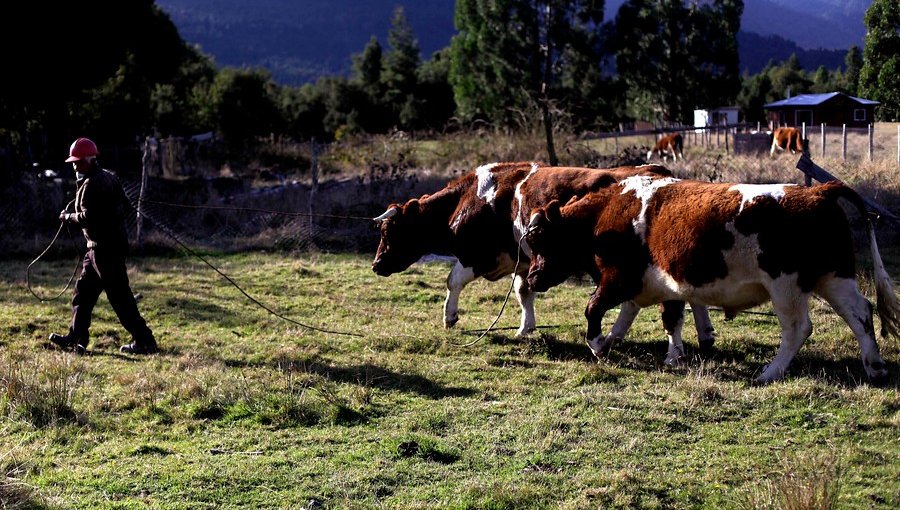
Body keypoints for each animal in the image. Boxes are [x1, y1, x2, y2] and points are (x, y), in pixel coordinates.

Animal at [372, 161, 716, 352]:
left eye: (388, 231)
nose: (376, 265)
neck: (468, 198)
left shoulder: (479, 256)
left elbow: (452, 280)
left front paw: (450, 317)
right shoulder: (524, 262)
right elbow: (523, 292)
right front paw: (526, 328)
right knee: (690, 294)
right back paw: (705, 335)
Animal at [524, 175, 896, 382]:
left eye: (541, 239)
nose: (531, 277)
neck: (609, 214)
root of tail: (819, 192)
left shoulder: (617, 279)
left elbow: (594, 309)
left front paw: (598, 345)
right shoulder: (663, 283)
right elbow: (663, 318)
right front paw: (670, 354)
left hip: (786, 287)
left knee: (798, 328)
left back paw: (769, 373)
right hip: (834, 277)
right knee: (860, 313)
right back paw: (875, 366)